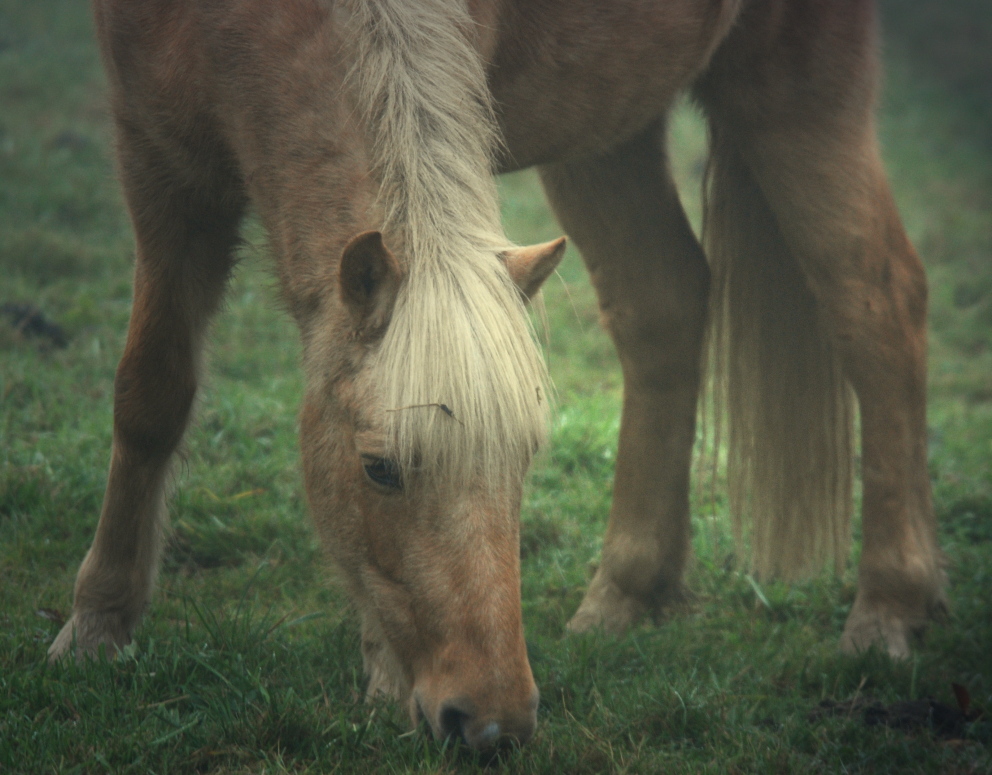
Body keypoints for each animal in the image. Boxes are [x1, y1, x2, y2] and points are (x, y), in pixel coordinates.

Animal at [52, 0, 944, 752]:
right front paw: (98, 624)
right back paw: (627, 593)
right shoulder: (155, 158)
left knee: (878, 304)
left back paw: (889, 609)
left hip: (793, 84)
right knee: (664, 304)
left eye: (524, 463)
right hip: (611, 125)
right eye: (378, 467)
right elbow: (150, 392)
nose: (492, 723)